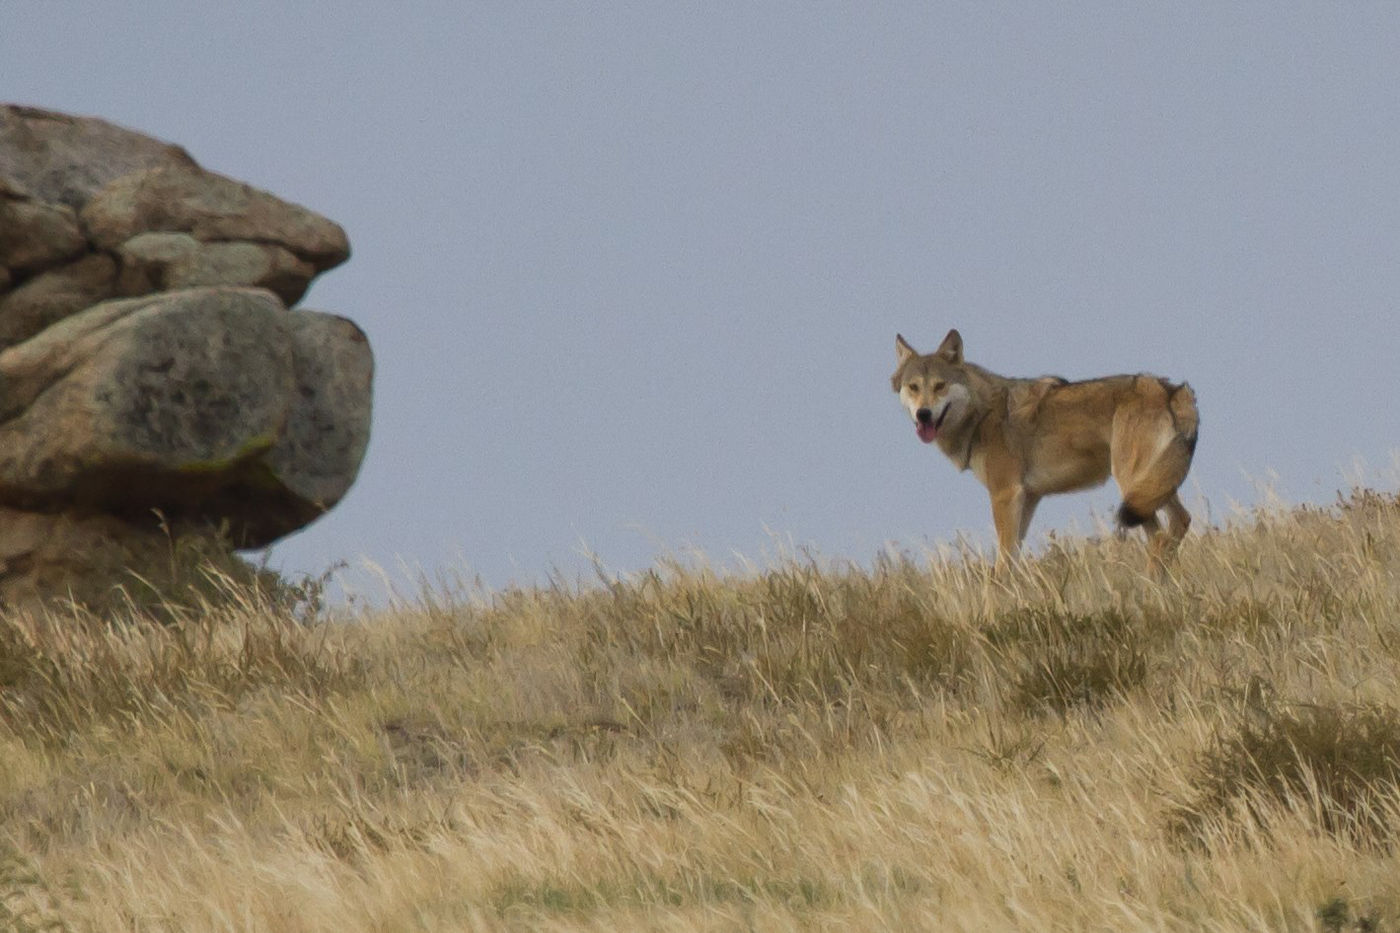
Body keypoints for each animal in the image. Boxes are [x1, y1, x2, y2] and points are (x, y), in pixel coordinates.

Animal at [890, 330, 1198, 571]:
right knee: (1179, 523)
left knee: (1160, 536)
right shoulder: (1028, 498)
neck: (982, 414)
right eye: (913, 387)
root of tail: (1170, 389)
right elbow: (1012, 560)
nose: (924, 414)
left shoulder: (1005, 494)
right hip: (1150, 487)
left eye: (940, 386)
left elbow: (1001, 567)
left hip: (1132, 485)